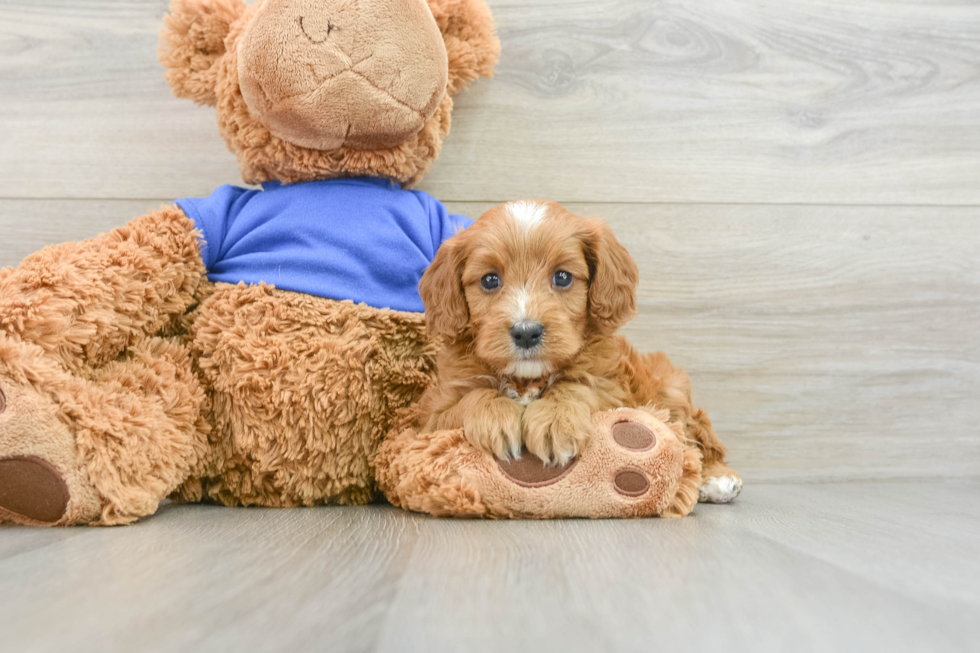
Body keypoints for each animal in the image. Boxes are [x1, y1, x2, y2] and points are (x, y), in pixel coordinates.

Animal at [416, 201, 744, 502]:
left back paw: (717, 479)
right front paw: (496, 416)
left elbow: (577, 386)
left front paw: (555, 420)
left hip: (670, 387)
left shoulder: (613, 390)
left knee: (698, 434)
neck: (526, 378)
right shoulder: (429, 417)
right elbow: (472, 398)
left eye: (562, 277)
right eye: (489, 280)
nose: (526, 332)